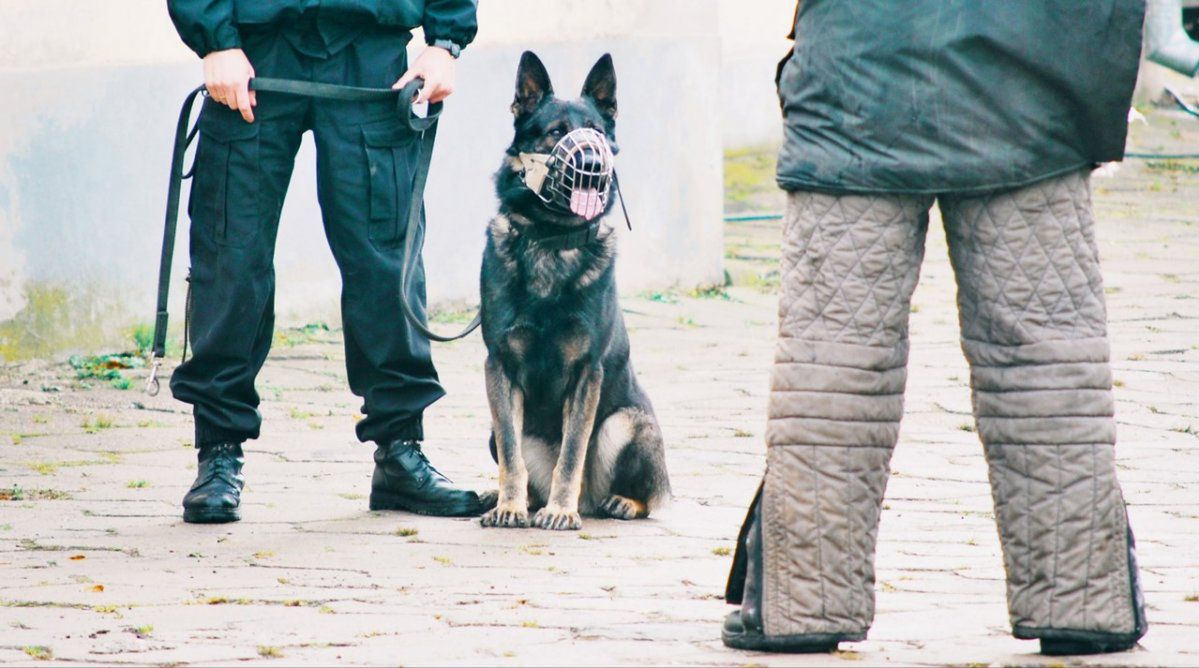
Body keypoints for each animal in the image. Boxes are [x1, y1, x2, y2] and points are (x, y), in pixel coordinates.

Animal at [479, 50, 671, 532]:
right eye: (555, 133)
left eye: (597, 133)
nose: (591, 162)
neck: (553, 239)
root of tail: (592, 500)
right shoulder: (500, 367)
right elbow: (511, 453)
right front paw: (509, 505)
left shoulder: (587, 374)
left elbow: (572, 452)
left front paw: (560, 511)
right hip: (491, 426)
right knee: (517, 460)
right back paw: (515, 499)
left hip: (627, 423)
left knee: (647, 494)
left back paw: (616, 503)